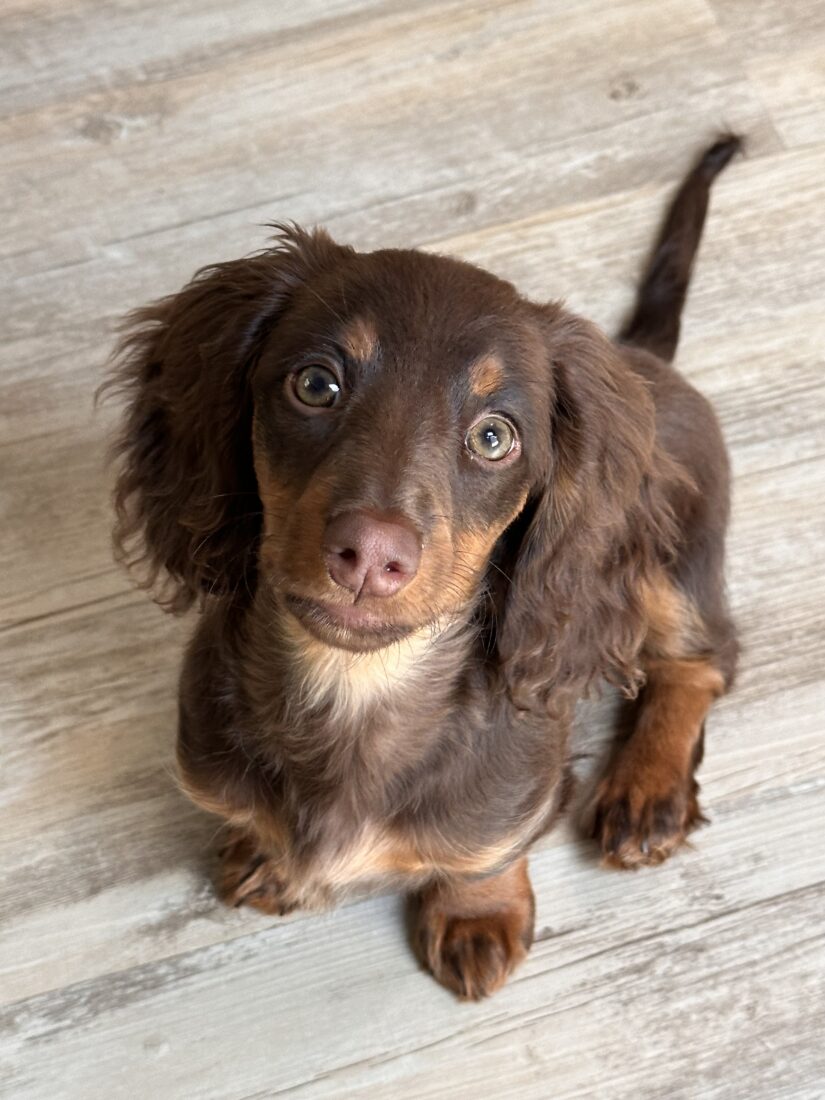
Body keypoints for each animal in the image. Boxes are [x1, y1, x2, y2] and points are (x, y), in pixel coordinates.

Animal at [108, 135, 743, 998]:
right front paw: (268, 853)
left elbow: (487, 852)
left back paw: (645, 788)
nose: (371, 555)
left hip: (675, 568)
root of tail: (642, 356)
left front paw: (476, 912)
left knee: (700, 660)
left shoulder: (518, 796)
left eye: (493, 436)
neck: (356, 685)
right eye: (315, 384)